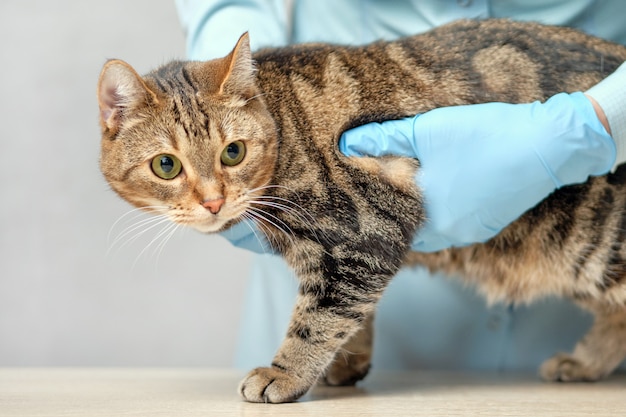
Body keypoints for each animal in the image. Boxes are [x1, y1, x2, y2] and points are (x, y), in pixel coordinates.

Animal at [96, 20, 624, 404]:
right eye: (166, 165)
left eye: (233, 153)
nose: (212, 200)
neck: (284, 122)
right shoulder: (339, 255)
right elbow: (349, 316)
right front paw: (347, 360)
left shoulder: (364, 233)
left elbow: (317, 319)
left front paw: (286, 372)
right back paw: (583, 363)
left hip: (597, 244)